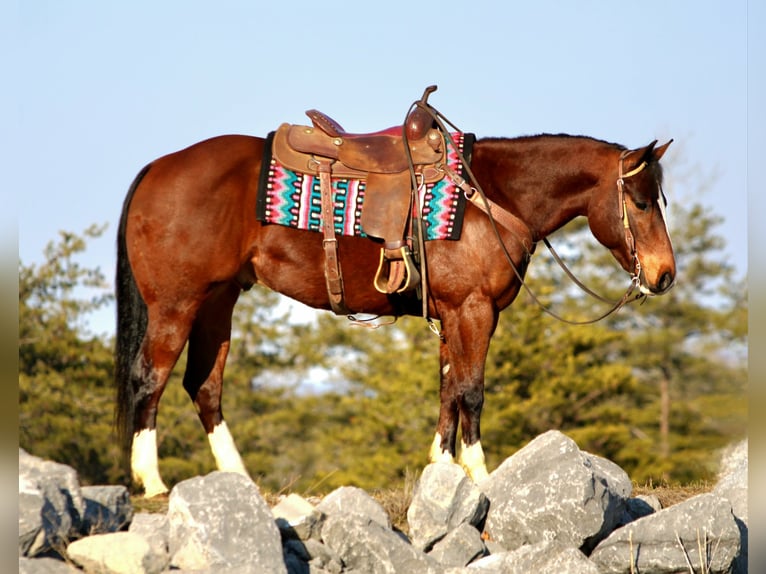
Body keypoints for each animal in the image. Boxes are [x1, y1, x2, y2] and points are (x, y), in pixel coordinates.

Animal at [115, 114, 675, 497]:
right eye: (642, 202)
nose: (664, 275)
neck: (489, 196)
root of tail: (157, 168)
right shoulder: (473, 310)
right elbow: (471, 393)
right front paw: (480, 474)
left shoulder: (453, 316)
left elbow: (448, 393)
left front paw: (441, 472)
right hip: (176, 304)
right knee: (151, 377)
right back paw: (152, 481)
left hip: (218, 301)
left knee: (203, 386)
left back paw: (237, 477)